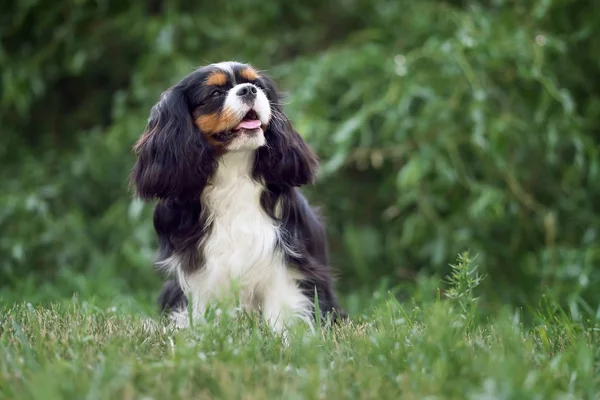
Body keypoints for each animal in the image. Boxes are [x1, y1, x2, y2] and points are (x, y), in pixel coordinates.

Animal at [132, 61, 346, 332]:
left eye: (257, 85)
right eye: (215, 93)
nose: (249, 90)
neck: (233, 170)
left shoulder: (283, 260)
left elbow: (280, 307)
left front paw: (281, 337)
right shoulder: (199, 265)